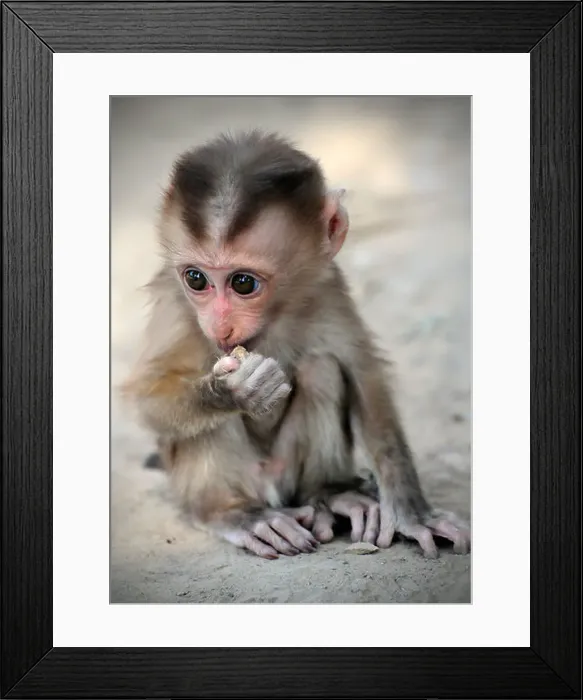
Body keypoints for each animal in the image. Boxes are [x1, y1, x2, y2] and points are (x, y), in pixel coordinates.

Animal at [120, 129, 471, 560]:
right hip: (236, 479)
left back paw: (331, 494)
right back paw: (234, 514)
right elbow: (147, 396)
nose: (220, 324)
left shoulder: (327, 286)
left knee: (322, 369)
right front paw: (230, 390)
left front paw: (413, 512)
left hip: (287, 474)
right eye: (196, 279)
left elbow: (364, 377)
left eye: (243, 283)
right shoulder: (174, 301)